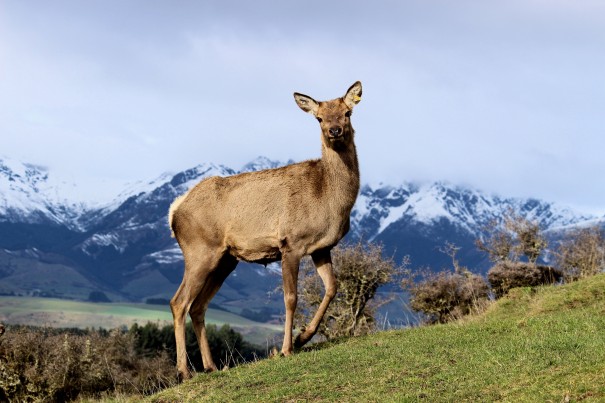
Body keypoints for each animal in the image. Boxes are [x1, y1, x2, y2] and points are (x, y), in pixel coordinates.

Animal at [168, 81, 360, 382]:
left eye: (347, 113)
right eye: (318, 118)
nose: (334, 131)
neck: (329, 199)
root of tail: (174, 212)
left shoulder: (321, 247)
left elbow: (332, 287)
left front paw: (304, 337)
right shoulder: (291, 242)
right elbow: (291, 298)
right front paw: (285, 349)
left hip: (225, 260)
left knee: (198, 306)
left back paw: (211, 366)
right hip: (199, 250)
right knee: (179, 302)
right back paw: (184, 371)